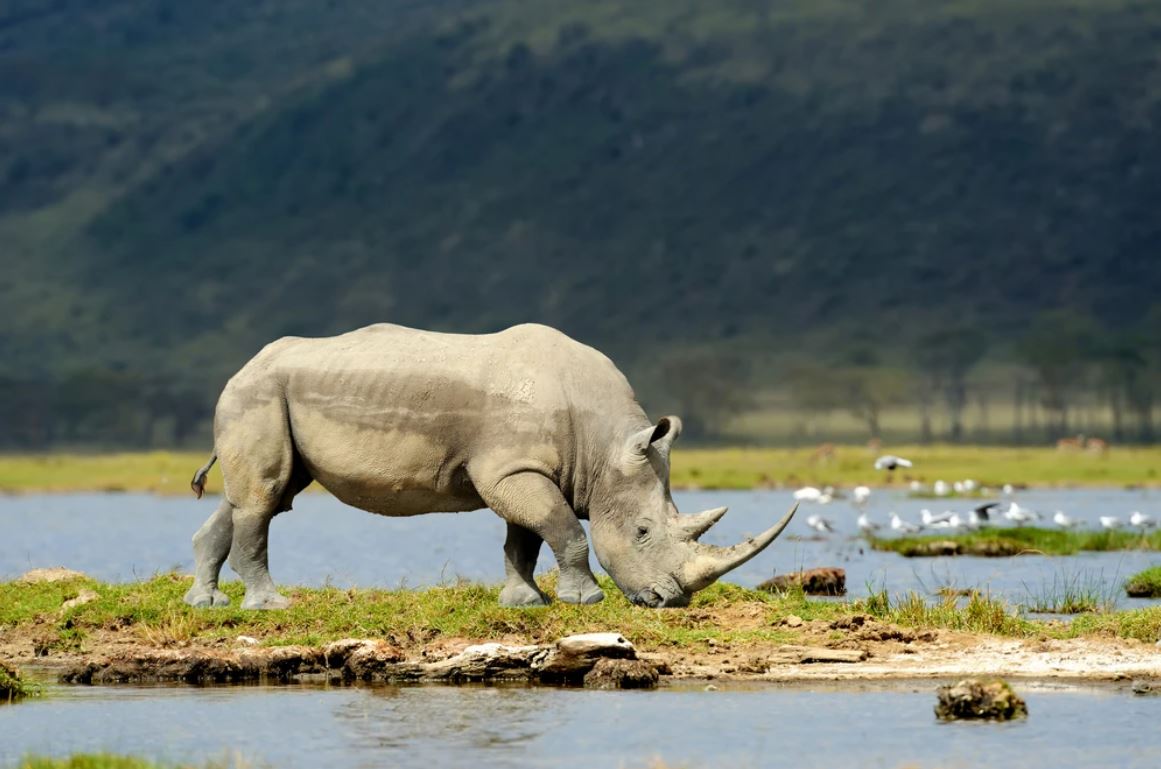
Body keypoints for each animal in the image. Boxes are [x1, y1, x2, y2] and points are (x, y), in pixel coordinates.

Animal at [185, 323, 796, 610]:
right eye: (643, 532)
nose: (670, 601)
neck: (602, 449)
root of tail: (243, 366)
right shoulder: (512, 470)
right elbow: (564, 530)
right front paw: (585, 600)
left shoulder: (525, 470)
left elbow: (525, 537)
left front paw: (525, 600)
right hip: (258, 393)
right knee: (265, 497)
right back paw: (269, 604)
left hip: (269, 394)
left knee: (262, 496)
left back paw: (208, 603)